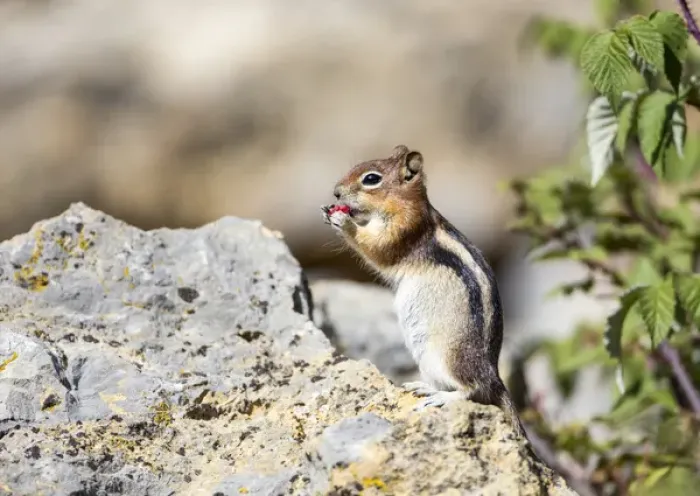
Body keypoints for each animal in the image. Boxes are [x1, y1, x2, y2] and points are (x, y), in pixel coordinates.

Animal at [320, 144, 526, 440]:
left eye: (371, 179)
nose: (336, 192)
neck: (403, 203)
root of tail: (495, 376)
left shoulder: (404, 229)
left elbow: (377, 247)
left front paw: (342, 220)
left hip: (452, 358)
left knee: (473, 389)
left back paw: (442, 397)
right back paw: (425, 387)